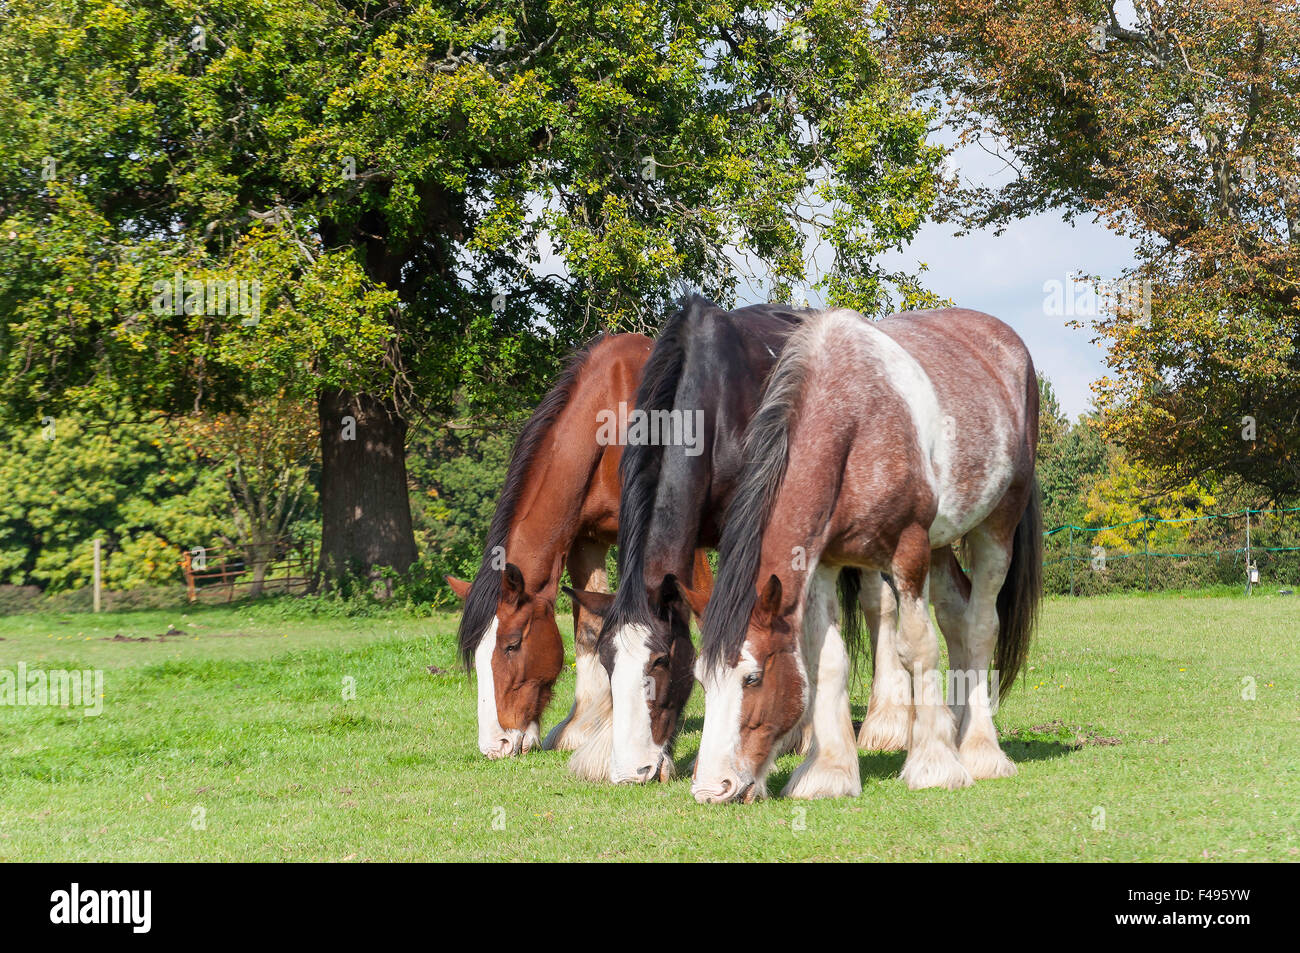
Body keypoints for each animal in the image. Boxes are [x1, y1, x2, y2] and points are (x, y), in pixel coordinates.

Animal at [696, 308, 1040, 800]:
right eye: (702, 682)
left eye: (753, 678)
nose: (711, 788)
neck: (856, 423)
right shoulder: (824, 564)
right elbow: (828, 660)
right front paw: (829, 771)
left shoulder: (909, 549)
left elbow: (917, 648)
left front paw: (935, 764)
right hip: (941, 545)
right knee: (956, 616)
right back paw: (953, 728)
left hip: (995, 528)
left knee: (979, 627)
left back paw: (978, 749)